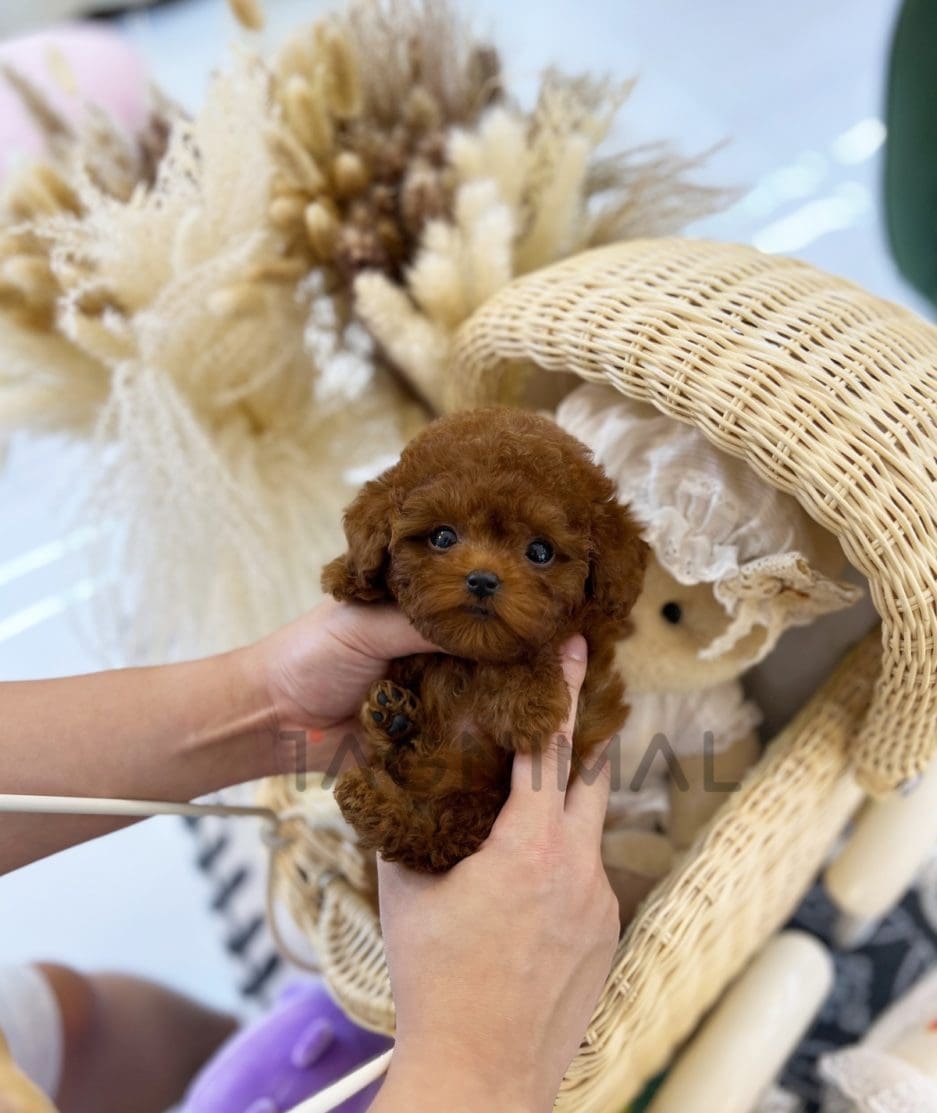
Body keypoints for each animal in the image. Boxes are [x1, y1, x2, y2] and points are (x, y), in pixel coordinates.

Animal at [320, 405, 640, 872]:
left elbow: (536, 649)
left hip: (477, 807)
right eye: (442, 536)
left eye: (540, 551)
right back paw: (390, 724)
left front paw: (528, 703)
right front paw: (348, 573)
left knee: (432, 838)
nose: (483, 580)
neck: (472, 658)